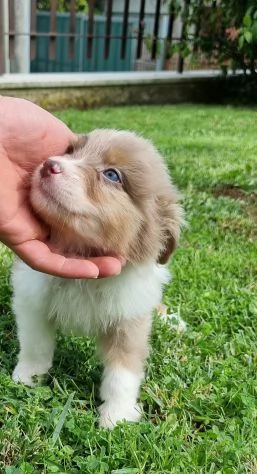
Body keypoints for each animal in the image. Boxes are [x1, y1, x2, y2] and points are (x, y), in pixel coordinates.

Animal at [11, 131, 181, 430]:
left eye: (112, 175)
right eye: (71, 150)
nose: (49, 165)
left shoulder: (129, 318)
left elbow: (122, 372)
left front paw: (117, 416)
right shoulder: (33, 301)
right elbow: (35, 345)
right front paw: (27, 378)